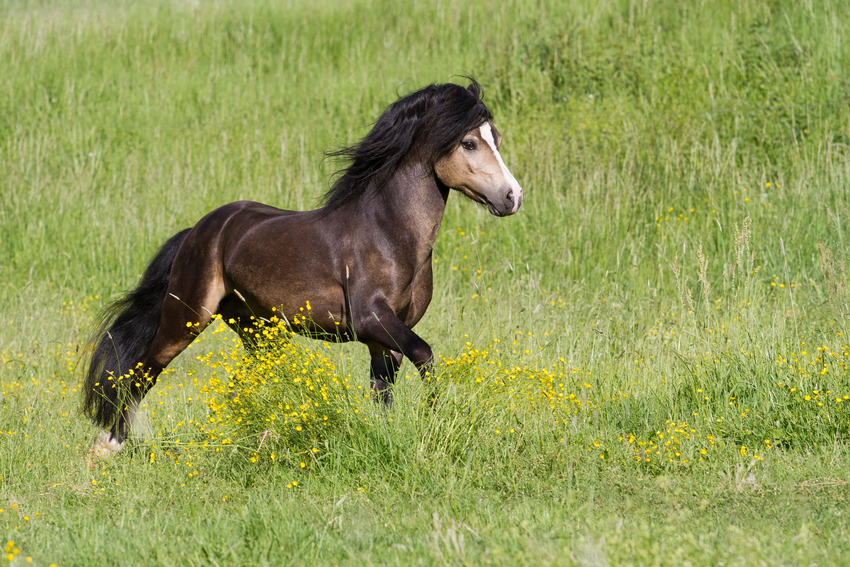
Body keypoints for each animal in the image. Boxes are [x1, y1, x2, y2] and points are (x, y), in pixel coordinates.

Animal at [83, 80, 520, 460]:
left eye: (496, 138)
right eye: (469, 142)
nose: (513, 196)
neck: (388, 232)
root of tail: (200, 231)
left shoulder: (385, 339)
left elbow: (384, 392)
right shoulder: (372, 320)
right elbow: (425, 355)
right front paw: (435, 420)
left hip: (258, 330)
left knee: (254, 381)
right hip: (186, 318)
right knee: (141, 372)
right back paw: (109, 446)